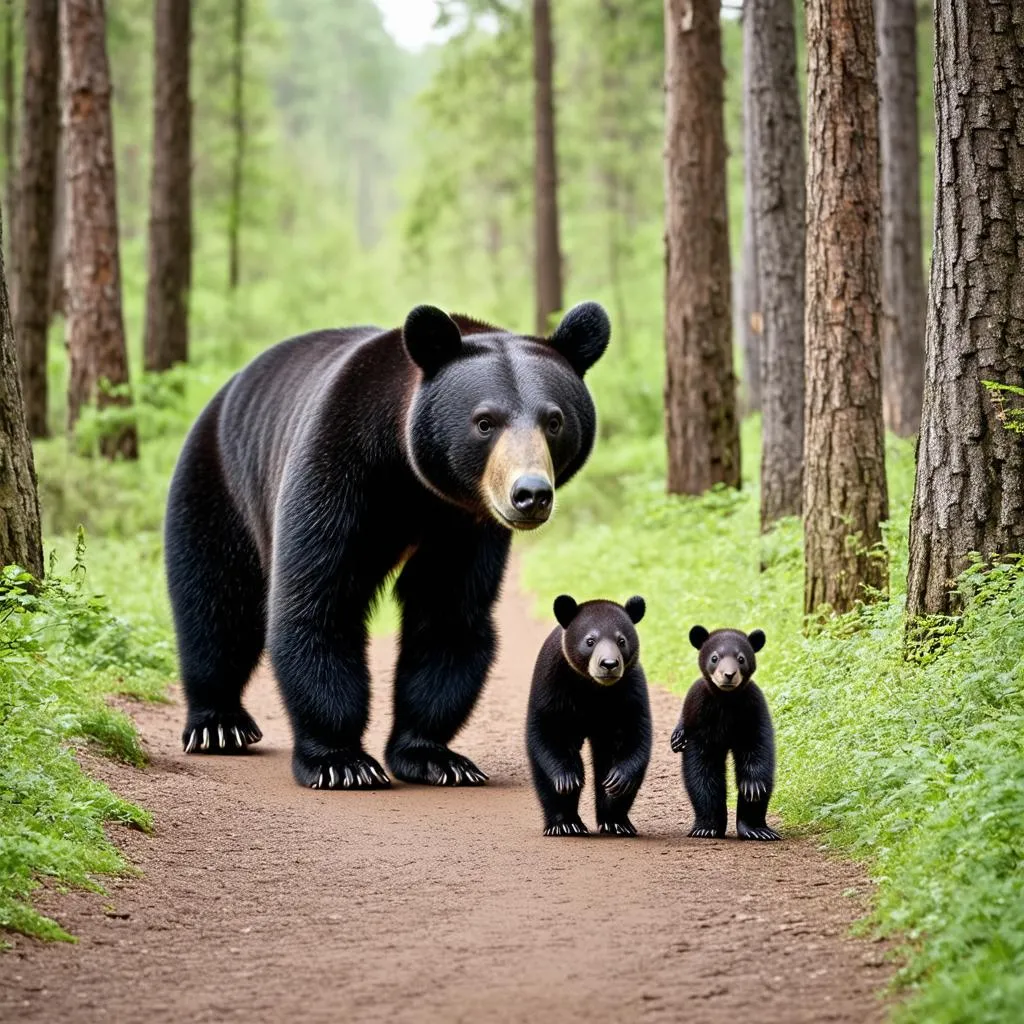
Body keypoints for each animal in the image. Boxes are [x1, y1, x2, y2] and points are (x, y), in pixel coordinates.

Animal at [160, 299, 606, 786]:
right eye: (485, 422)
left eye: (554, 420)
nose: (530, 494)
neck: (412, 478)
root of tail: (227, 388)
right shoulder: (340, 466)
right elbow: (320, 600)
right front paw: (341, 760)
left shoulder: (464, 524)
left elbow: (448, 615)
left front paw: (436, 756)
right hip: (219, 482)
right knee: (216, 600)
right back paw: (218, 723)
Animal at [524, 598, 651, 835]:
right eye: (590, 641)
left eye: (621, 640)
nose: (609, 664)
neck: (593, 687)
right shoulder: (553, 682)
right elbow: (549, 730)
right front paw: (567, 779)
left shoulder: (630, 687)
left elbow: (632, 733)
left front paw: (617, 780)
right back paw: (565, 824)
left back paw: (616, 822)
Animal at [667, 622, 778, 839]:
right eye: (714, 657)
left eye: (741, 658)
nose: (728, 675)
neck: (726, 699)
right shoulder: (699, 711)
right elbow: (702, 769)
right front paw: (707, 827)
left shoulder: (752, 707)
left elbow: (758, 746)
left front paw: (752, 786)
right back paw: (706, 828)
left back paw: (757, 830)